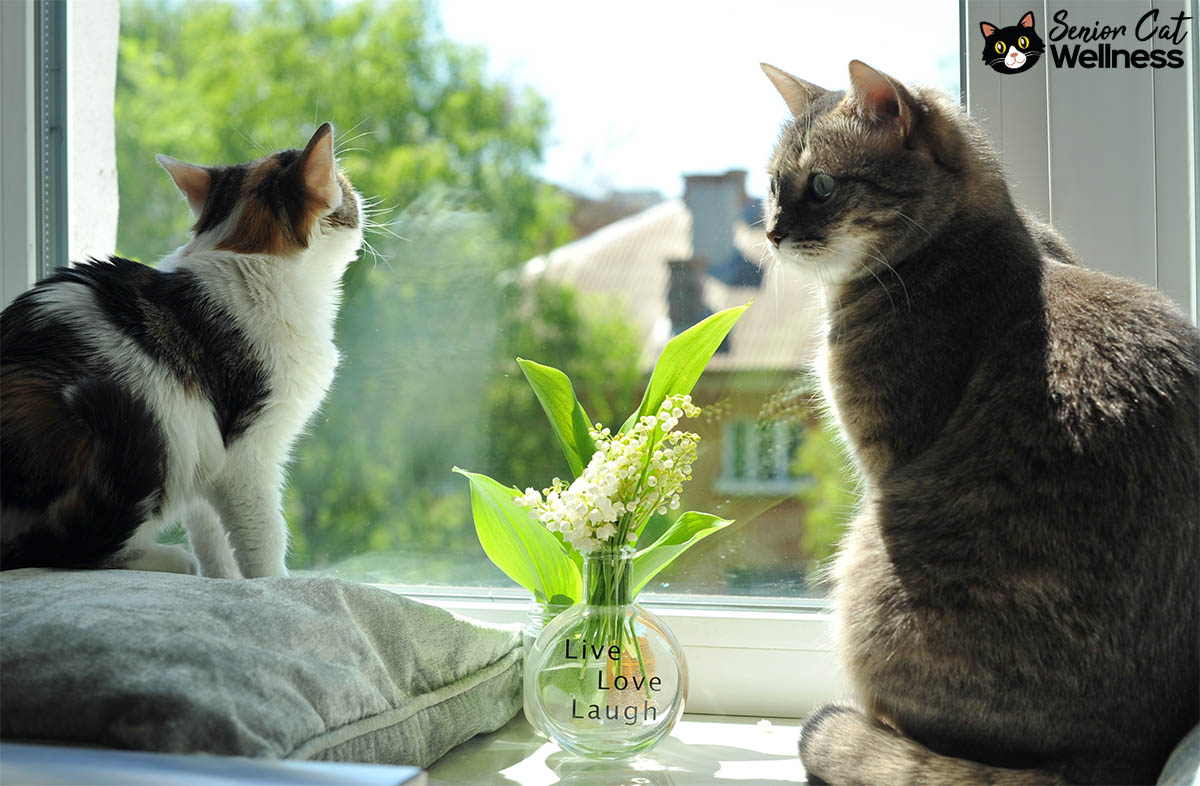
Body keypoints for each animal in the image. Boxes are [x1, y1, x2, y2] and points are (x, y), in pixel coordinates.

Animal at [2, 123, 362, 578]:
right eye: (345, 185)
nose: (359, 196)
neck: (251, 257)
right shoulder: (246, 454)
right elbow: (263, 536)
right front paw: (274, 584)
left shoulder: (209, 460)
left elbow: (211, 535)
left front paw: (223, 581)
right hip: (155, 434)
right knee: (68, 549)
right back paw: (167, 561)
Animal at [763, 61, 1195, 786]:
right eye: (772, 185)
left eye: (821, 186)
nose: (770, 231)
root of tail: (1119, 756)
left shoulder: (885, 457)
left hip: (866, 560)